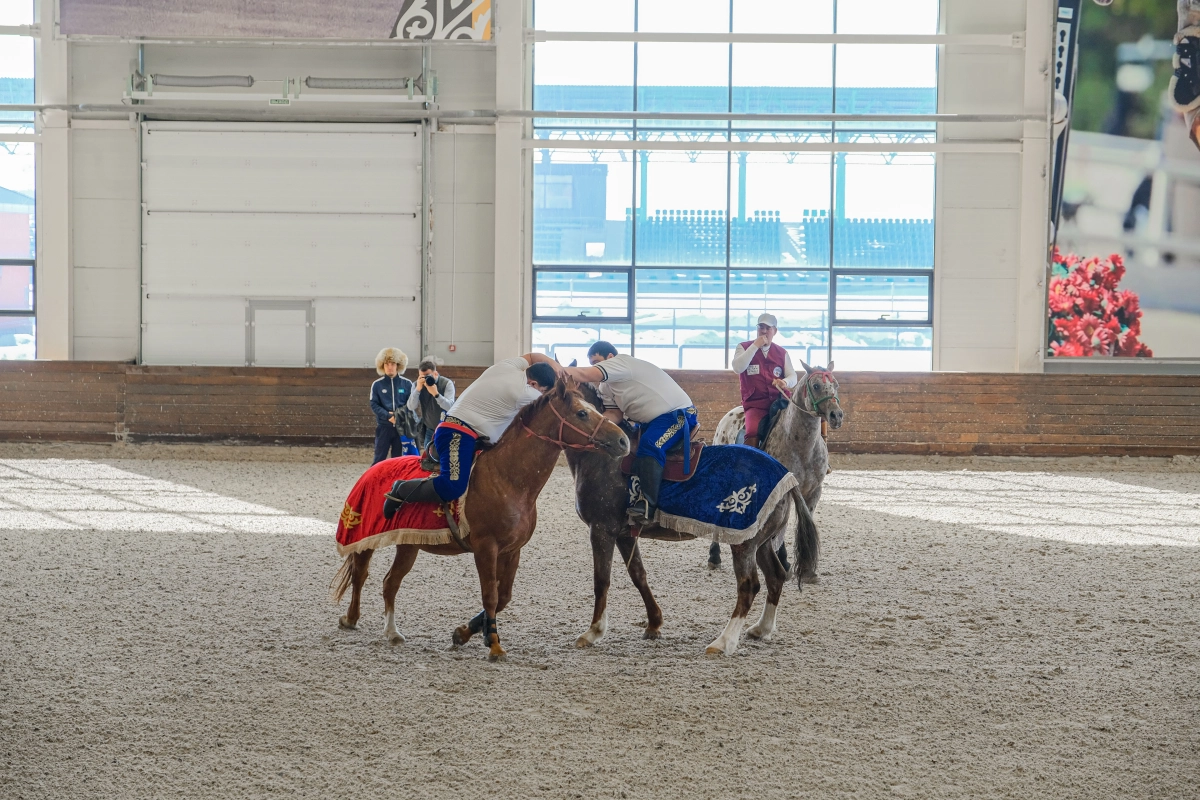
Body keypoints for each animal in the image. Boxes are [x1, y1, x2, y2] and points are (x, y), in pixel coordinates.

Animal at [328, 379, 628, 662]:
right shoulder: (486, 548)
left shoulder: (512, 551)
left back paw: (391, 631)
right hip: (364, 538)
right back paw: (352, 618)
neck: (508, 478)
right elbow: (490, 595)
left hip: (408, 545)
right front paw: (494, 644)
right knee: (360, 574)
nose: (623, 441)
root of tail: (374, 468)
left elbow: (503, 596)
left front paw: (463, 633)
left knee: (390, 582)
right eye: (581, 412)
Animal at [566, 388, 820, 657]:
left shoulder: (602, 530)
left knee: (749, 585)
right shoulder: (624, 533)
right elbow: (638, 574)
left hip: (745, 542)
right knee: (776, 576)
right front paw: (654, 623)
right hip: (761, 542)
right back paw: (762, 628)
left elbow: (601, 580)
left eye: (582, 413)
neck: (603, 458)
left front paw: (593, 631)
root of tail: (787, 476)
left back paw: (724, 641)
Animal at [710, 357, 844, 575]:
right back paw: (714, 555)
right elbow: (783, 524)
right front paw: (783, 559)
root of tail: (728, 416)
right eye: (816, 386)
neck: (802, 445)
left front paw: (806, 567)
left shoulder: (814, 491)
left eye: (836, 385)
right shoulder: (785, 492)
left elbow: (805, 518)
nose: (836, 416)